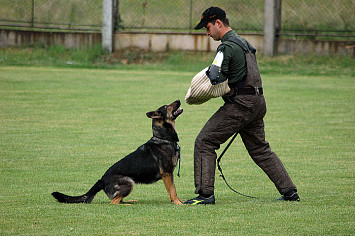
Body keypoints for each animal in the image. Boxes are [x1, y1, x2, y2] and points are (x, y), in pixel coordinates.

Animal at [53, 99, 186, 205]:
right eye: (167, 106)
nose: (179, 99)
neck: (163, 138)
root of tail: (102, 180)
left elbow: (173, 190)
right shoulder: (167, 174)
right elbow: (173, 191)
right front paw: (178, 203)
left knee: (118, 199)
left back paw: (131, 201)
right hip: (129, 182)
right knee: (113, 202)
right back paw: (128, 204)